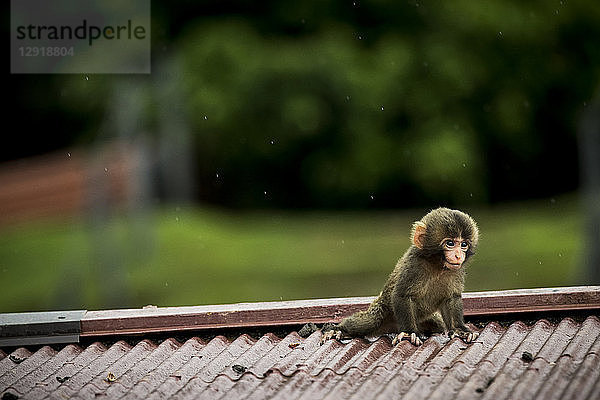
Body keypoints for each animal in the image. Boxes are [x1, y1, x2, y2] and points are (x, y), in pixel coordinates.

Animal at [322, 208, 480, 346]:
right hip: (382, 308)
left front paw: (459, 330)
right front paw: (409, 333)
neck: (437, 266)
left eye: (464, 244)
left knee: (438, 324)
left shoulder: (457, 271)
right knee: (370, 321)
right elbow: (401, 295)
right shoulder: (413, 265)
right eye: (450, 243)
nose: (458, 255)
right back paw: (338, 330)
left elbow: (451, 298)